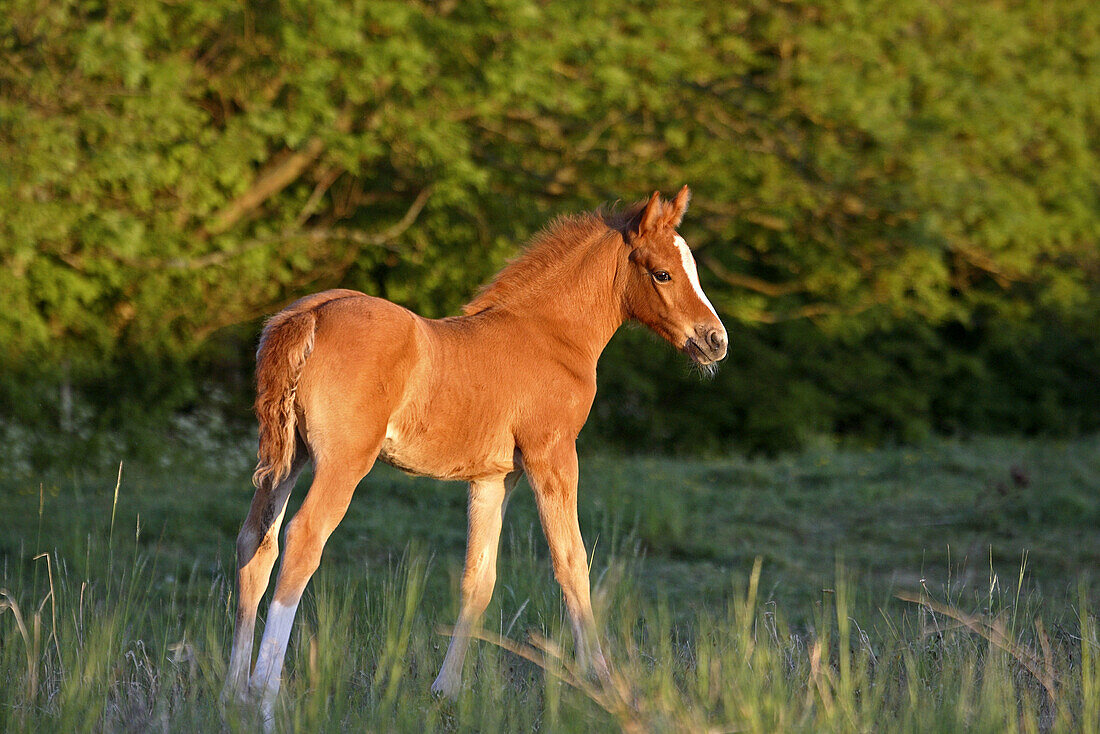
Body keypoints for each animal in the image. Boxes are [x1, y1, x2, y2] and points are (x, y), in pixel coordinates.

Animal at [223, 187, 726, 713]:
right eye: (663, 273)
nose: (716, 340)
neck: (550, 335)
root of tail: (309, 315)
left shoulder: (494, 477)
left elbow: (478, 580)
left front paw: (445, 690)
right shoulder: (553, 457)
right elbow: (572, 564)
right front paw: (603, 682)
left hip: (288, 459)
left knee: (255, 543)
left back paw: (232, 694)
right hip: (343, 463)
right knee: (302, 541)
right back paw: (263, 696)